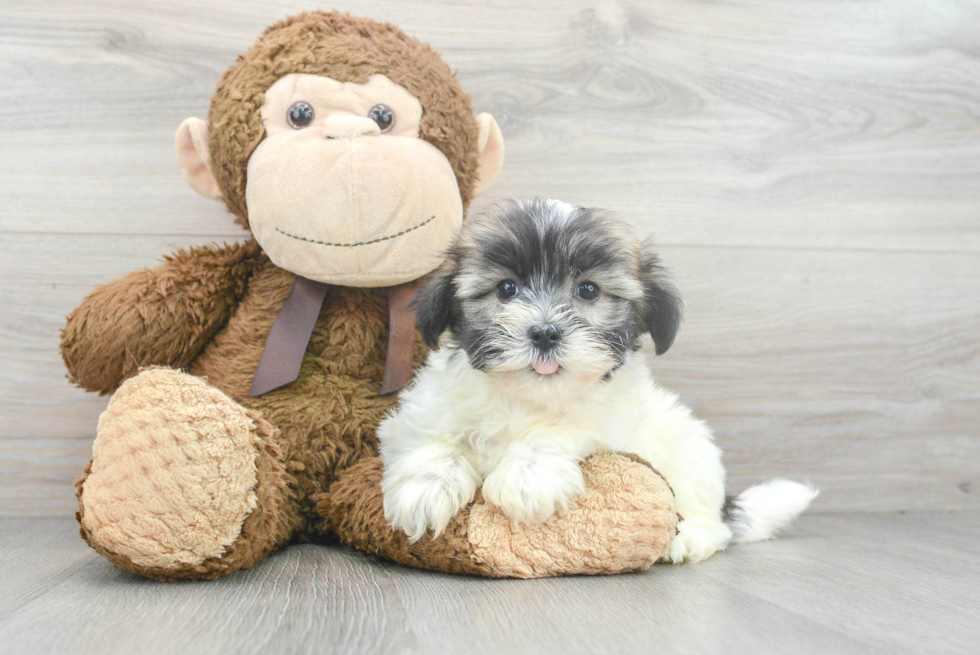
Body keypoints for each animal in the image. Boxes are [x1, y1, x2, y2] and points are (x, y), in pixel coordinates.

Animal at [378, 199, 820, 564]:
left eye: (588, 290)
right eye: (507, 288)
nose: (545, 333)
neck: (529, 397)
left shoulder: (607, 421)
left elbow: (557, 432)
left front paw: (528, 476)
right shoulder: (425, 407)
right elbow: (432, 437)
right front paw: (425, 488)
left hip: (692, 451)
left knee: (710, 517)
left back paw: (689, 538)